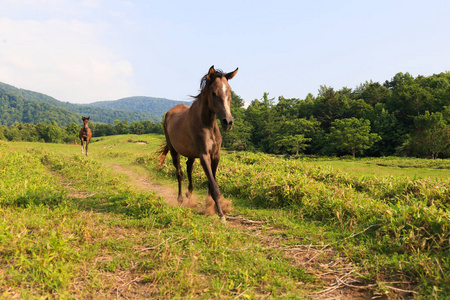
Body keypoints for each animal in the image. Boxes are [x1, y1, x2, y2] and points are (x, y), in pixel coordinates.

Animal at [157, 65, 237, 219]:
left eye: (230, 91)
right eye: (213, 93)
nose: (228, 122)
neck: (207, 124)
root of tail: (169, 113)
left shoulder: (215, 156)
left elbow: (211, 183)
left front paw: (210, 206)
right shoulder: (204, 156)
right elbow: (214, 186)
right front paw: (221, 215)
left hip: (191, 154)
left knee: (189, 168)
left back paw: (189, 194)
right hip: (174, 151)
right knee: (180, 173)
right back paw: (180, 199)